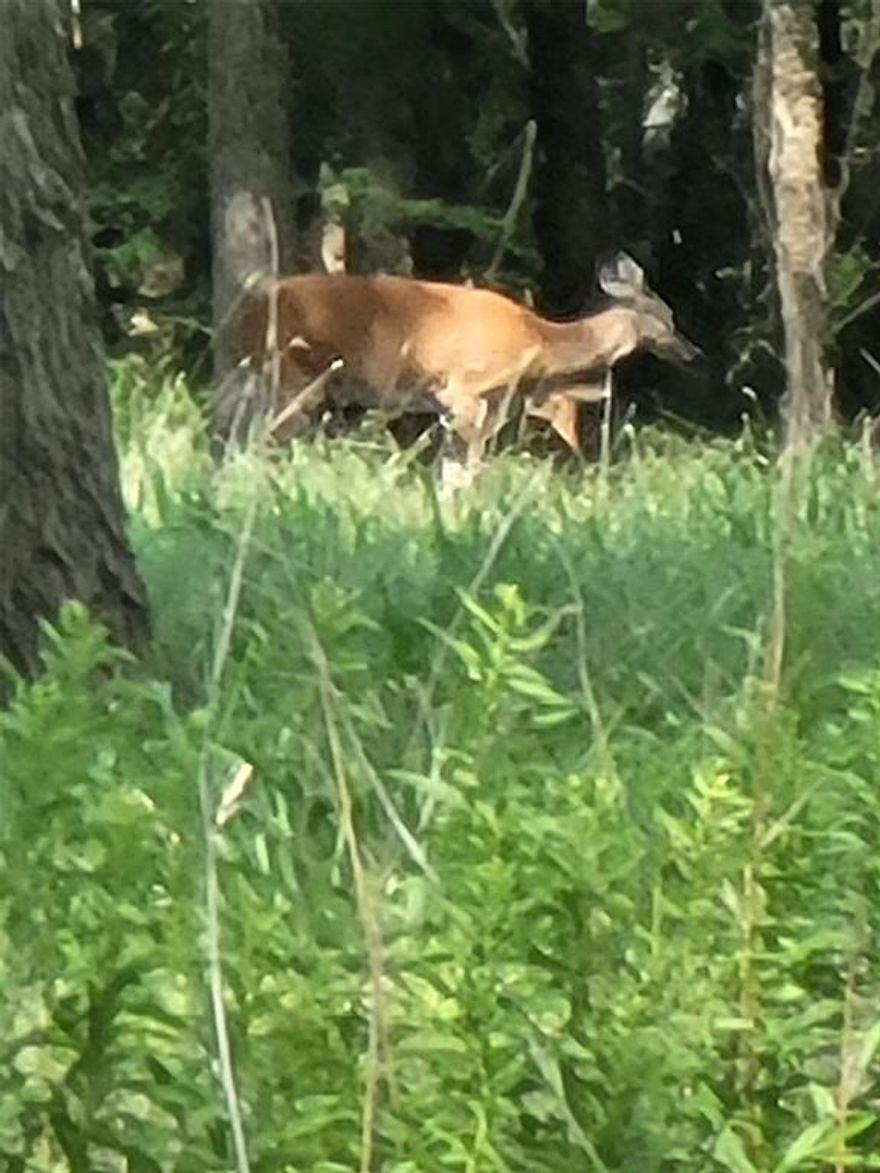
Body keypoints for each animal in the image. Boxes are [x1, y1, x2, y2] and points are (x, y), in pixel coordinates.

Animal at [225, 253, 699, 468]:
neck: (539, 342)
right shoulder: (463, 390)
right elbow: (466, 469)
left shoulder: (483, 403)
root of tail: (244, 316)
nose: (692, 351)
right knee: (263, 437)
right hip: (291, 375)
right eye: (667, 316)